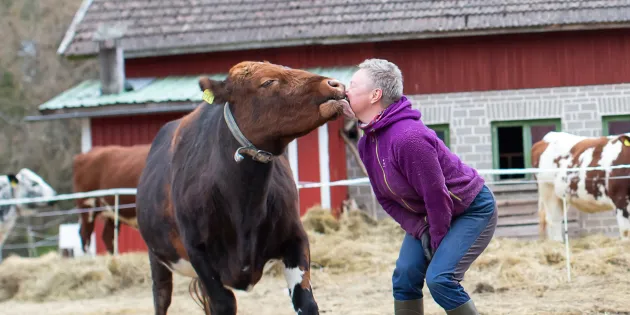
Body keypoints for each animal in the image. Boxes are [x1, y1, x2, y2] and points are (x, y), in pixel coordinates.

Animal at [136, 60, 354, 314]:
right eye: (267, 82)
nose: (334, 84)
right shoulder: (198, 253)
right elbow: (223, 303)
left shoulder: (295, 237)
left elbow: (305, 300)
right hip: (157, 259)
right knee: (161, 297)